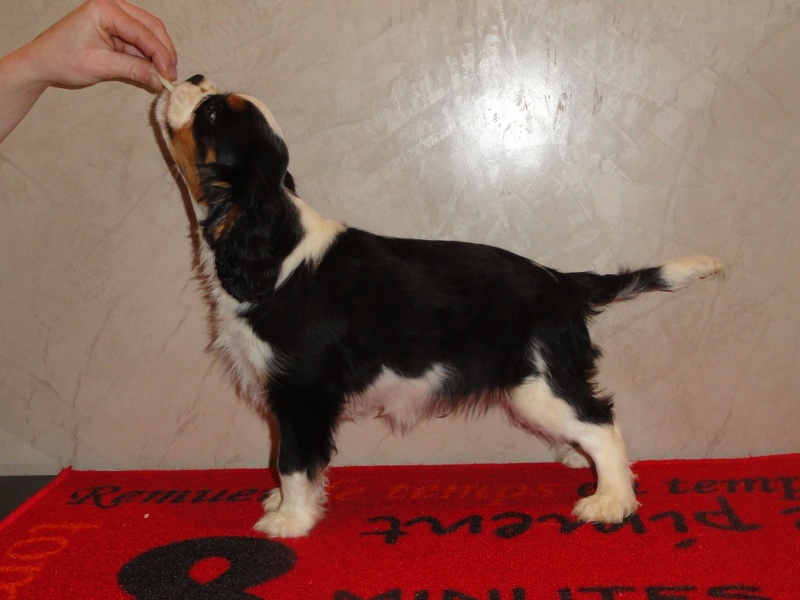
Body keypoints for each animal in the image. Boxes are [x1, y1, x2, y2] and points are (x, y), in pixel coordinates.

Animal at [155, 75, 725, 538]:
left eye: (211, 113)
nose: (192, 76)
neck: (271, 244)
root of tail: (561, 281)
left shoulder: (301, 392)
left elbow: (293, 460)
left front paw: (289, 521)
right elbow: (289, 462)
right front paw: (282, 505)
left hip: (536, 385)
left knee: (602, 422)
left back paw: (611, 501)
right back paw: (578, 461)